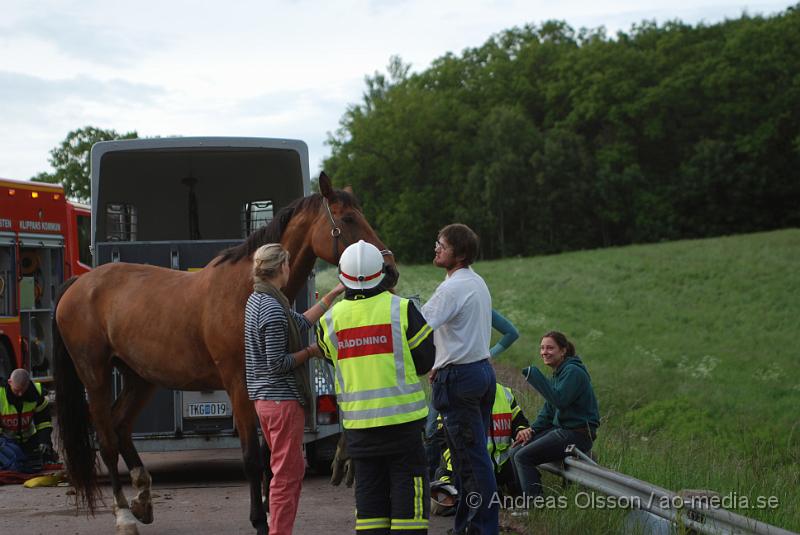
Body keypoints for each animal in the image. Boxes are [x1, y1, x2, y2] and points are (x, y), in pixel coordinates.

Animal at [53, 174, 396, 532]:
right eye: (349, 219)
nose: (390, 270)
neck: (247, 291)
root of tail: (79, 285)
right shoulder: (239, 386)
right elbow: (252, 457)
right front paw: (259, 520)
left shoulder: (265, 387)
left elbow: (268, 456)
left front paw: (269, 511)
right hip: (96, 376)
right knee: (106, 439)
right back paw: (123, 515)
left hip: (140, 378)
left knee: (120, 426)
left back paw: (143, 500)